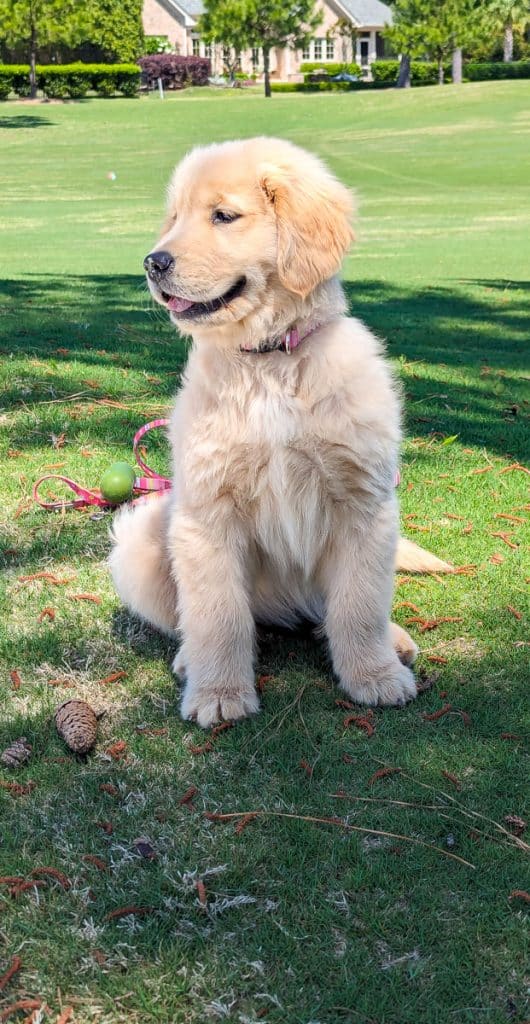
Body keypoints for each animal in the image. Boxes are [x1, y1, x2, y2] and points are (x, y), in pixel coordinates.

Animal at [109, 136, 450, 729]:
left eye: (223, 216)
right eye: (174, 218)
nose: (153, 262)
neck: (269, 361)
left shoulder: (364, 503)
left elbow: (360, 604)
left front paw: (374, 676)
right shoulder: (208, 511)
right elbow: (217, 614)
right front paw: (219, 693)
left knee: (340, 608)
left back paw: (394, 641)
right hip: (141, 536)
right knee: (193, 618)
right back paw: (190, 661)